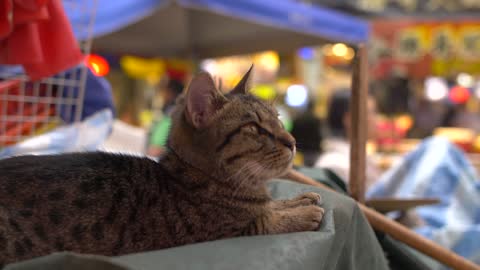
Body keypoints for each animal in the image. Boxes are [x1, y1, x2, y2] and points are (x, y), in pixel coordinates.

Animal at [0, 67, 324, 266]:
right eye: (255, 128)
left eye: (278, 119)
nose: (293, 141)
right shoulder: (226, 232)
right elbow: (267, 220)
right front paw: (302, 212)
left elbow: (273, 205)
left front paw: (300, 199)